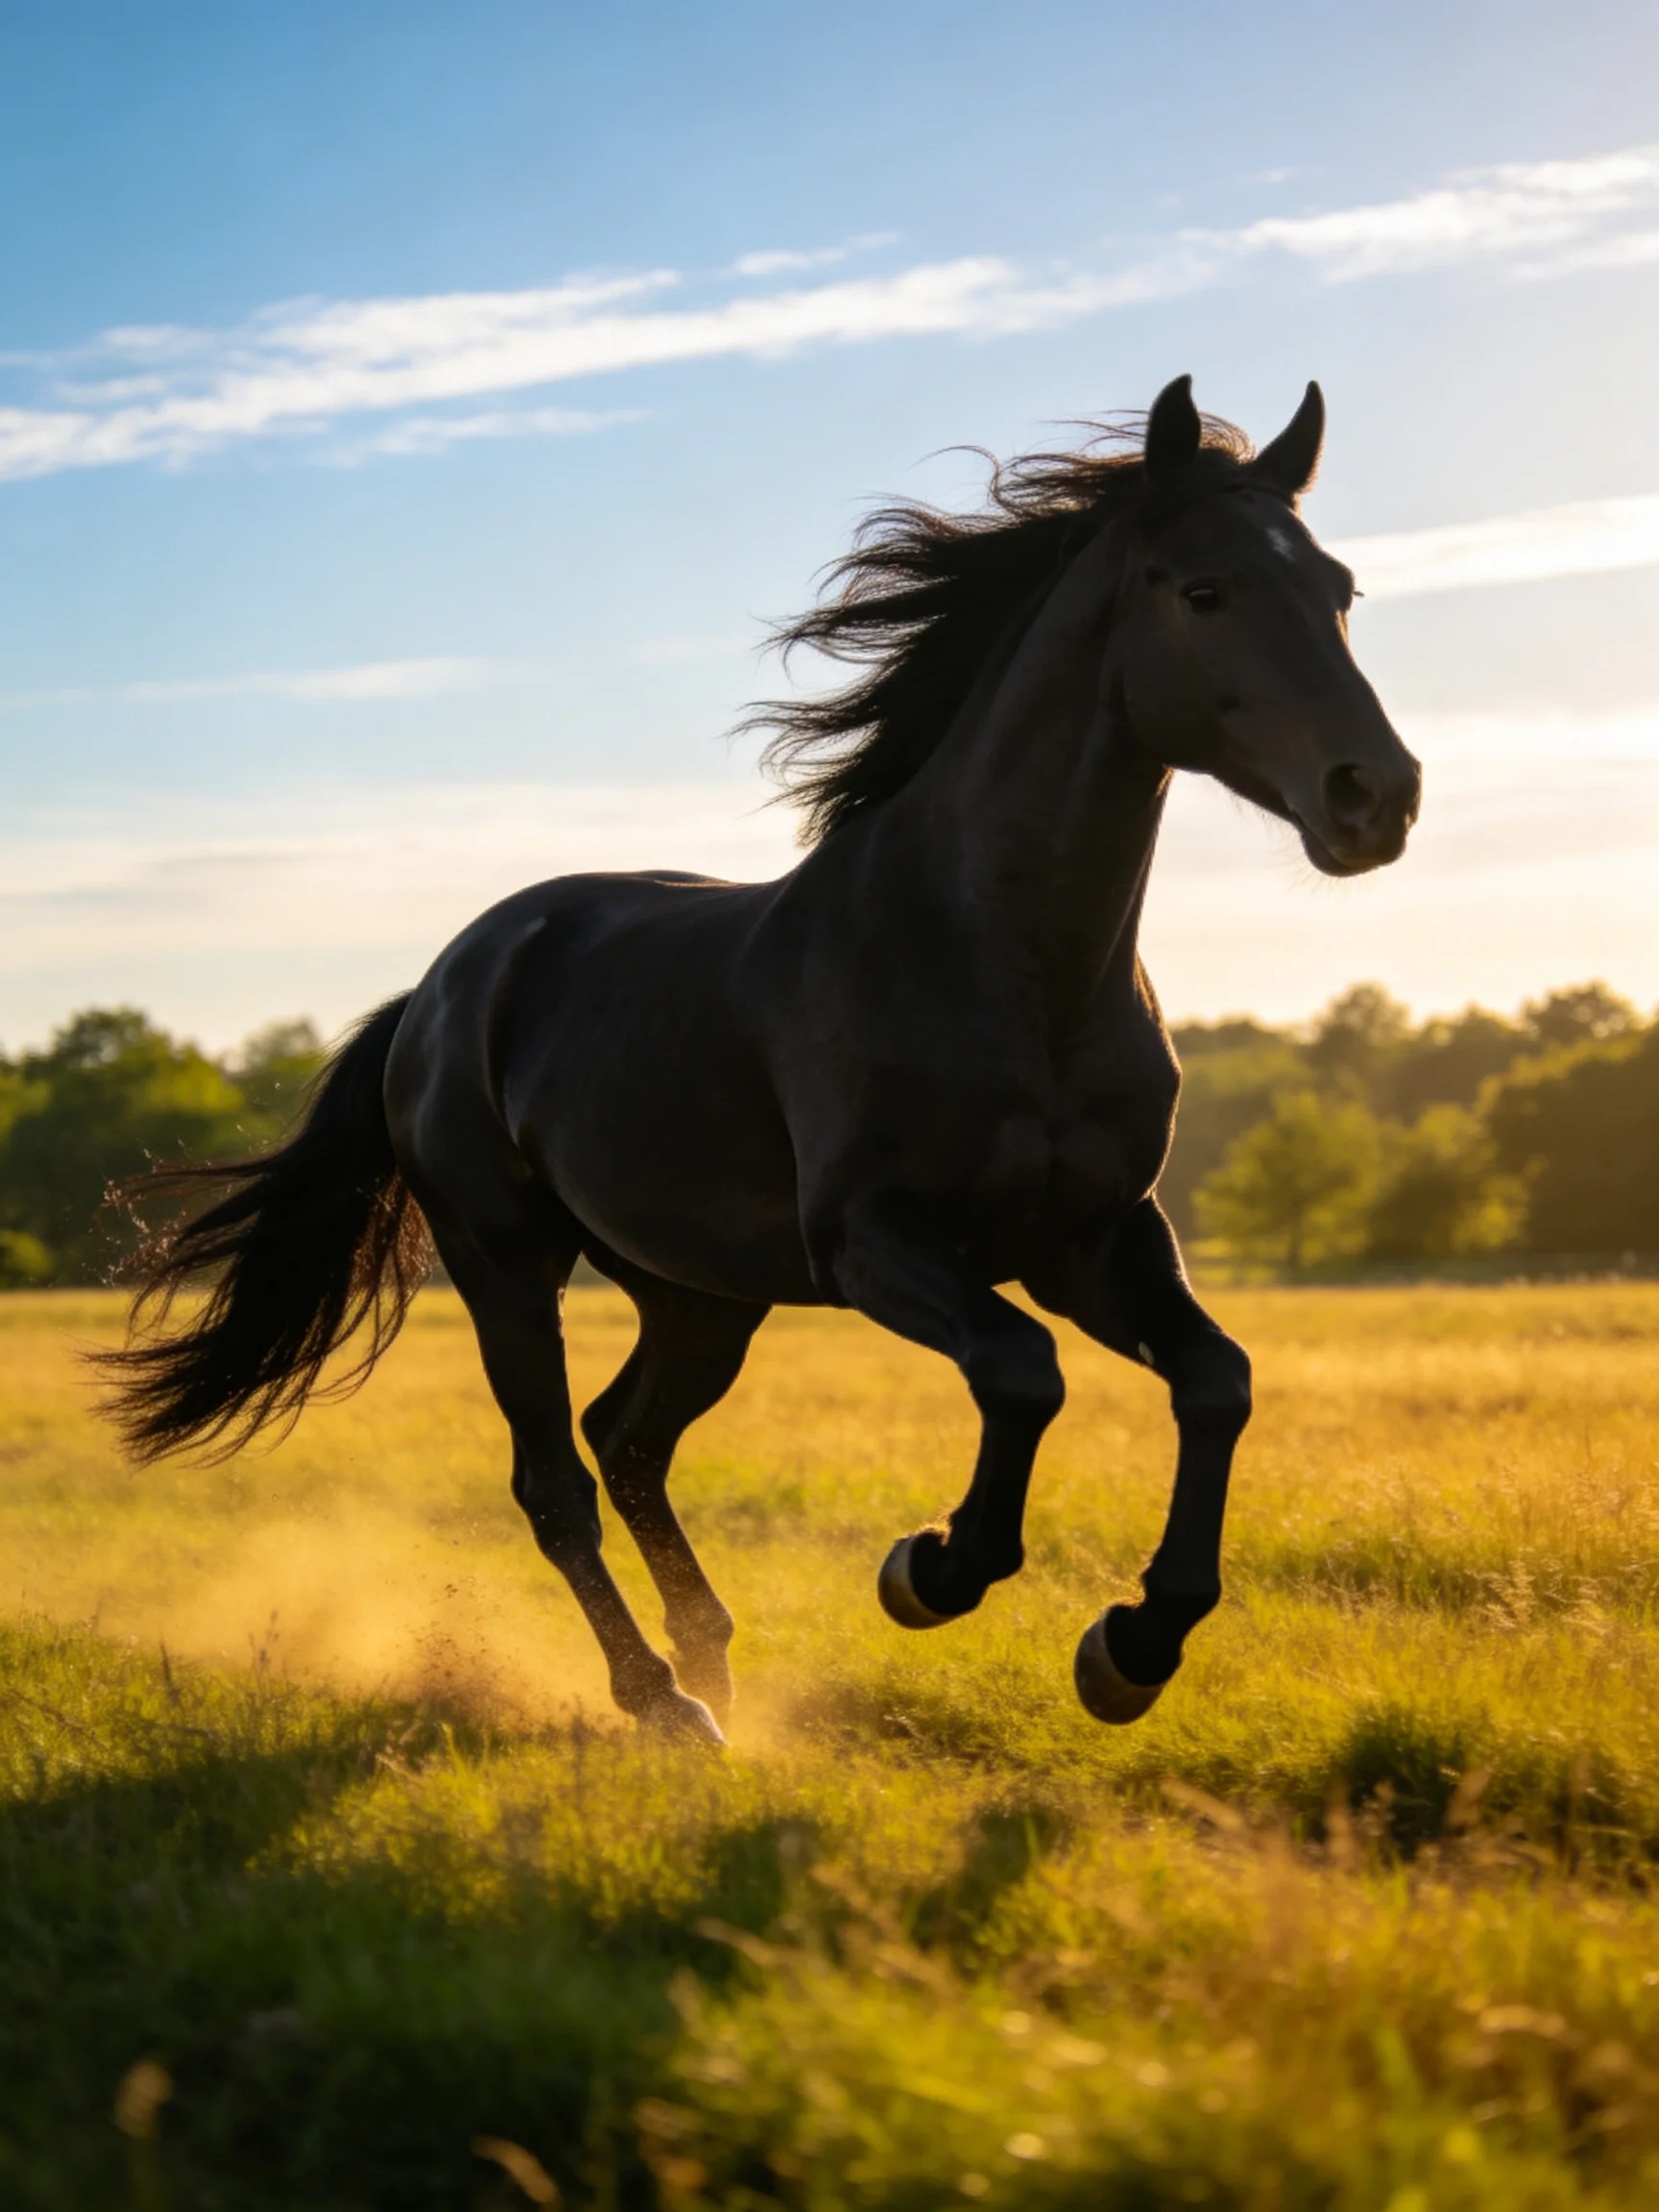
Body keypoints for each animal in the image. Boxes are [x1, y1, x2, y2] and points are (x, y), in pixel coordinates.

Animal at [100, 376, 1421, 1746]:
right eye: (1203, 589)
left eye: (1338, 587)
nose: (1375, 795)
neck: (1004, 963)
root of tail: (445, 985)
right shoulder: (874, 1242)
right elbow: (1021, 1373)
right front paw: (933, 1570)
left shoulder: (1096, 1240)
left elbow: (1215, 1380)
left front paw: (1135, 1645)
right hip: (505, 1264)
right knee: (553, 1477)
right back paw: (664, 1701)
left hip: (703, 1293)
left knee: (627, 1439)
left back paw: (714, 1659)